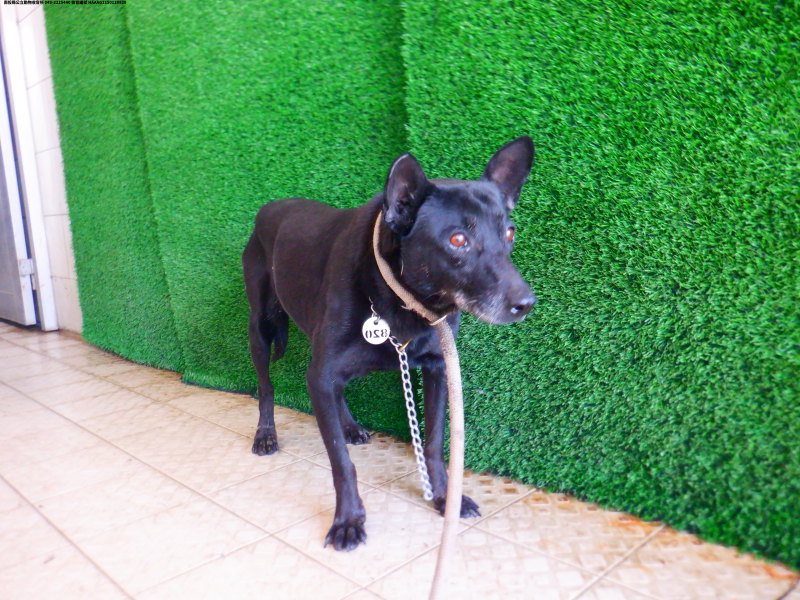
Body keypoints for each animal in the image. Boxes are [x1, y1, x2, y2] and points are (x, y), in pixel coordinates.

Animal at [242, 136, 536, 551]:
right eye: (457, 240)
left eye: (509, 233)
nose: (526, 304)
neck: (400, 300)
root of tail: (271, 207)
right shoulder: (320, 374)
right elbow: (340, 462)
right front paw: (348, 519)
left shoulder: (438, 369)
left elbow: (434, 444)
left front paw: (445, 497)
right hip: (261, 329)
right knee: (266, 387)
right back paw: (266, 434)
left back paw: (349, 426)